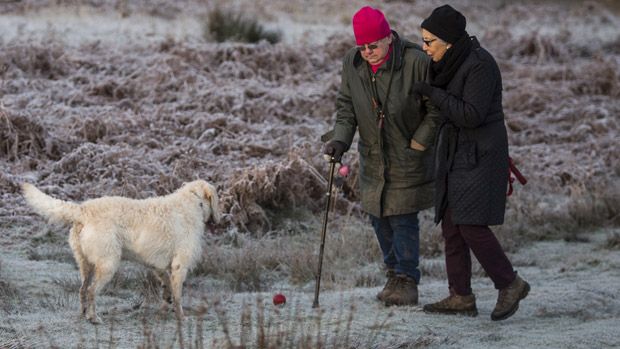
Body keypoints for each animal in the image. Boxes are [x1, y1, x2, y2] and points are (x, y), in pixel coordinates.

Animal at [21, 181, 220, 322]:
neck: (194, 202)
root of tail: (83, 209)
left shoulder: (160, 267)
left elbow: (167, 290)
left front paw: (164, 311)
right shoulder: (180, 266)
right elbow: (178, 297)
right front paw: (181, 317)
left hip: (86, 265)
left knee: (82, 290)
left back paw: (83, 315)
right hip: (108, 265)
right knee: (92, 291)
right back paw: (94, 318)